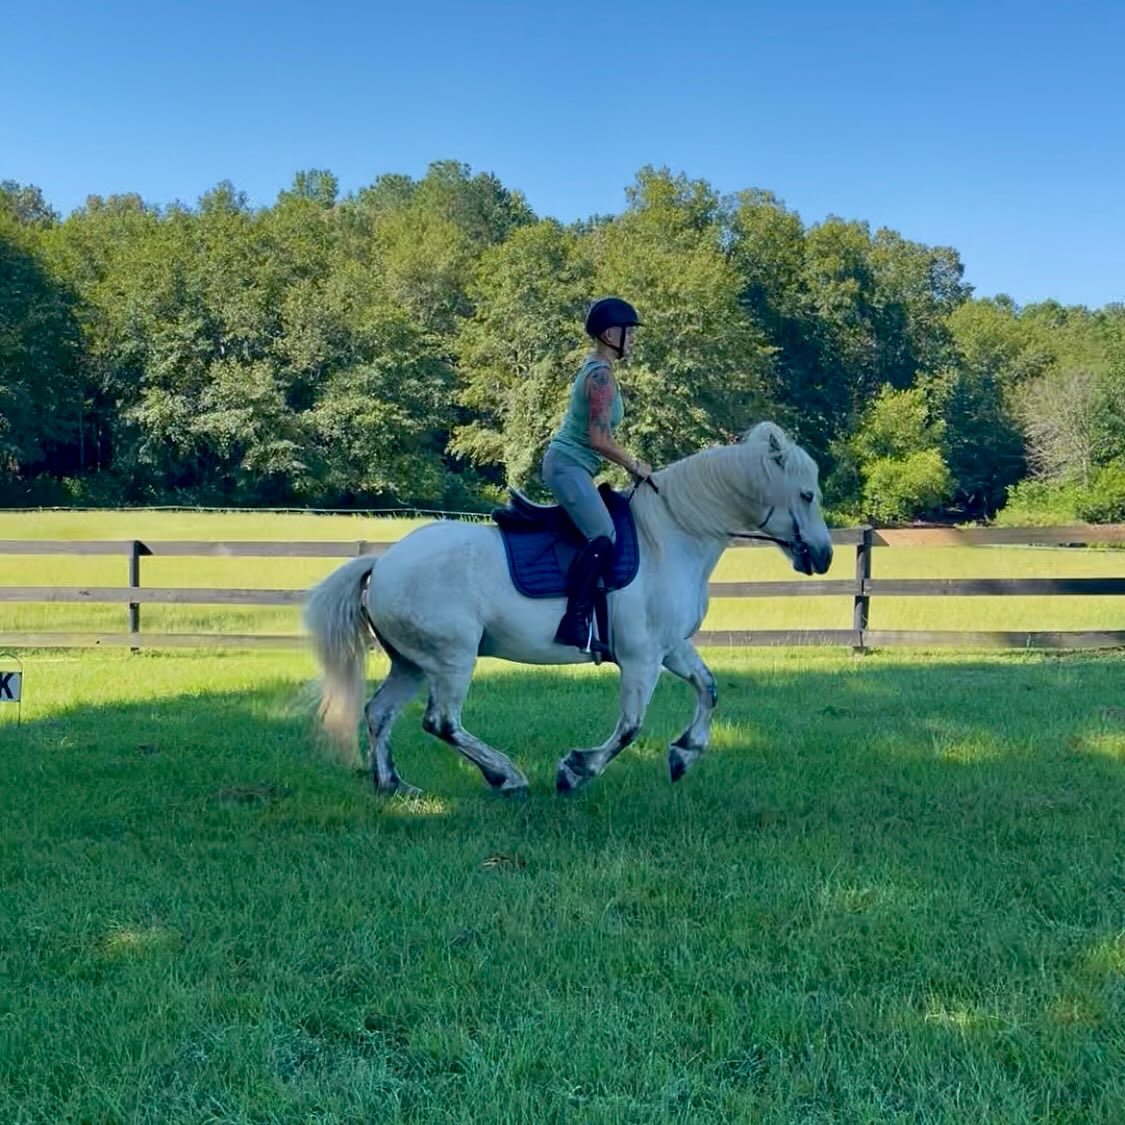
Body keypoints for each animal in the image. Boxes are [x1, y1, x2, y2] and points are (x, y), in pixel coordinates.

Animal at [303, 421, 833, 797]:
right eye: (806, 494)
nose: (824, 556)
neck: (670, 536)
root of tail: (382, 562)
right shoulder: (641, 658)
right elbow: (629, 728)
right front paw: (575, 770)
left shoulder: (671, 648)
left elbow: (708, 688)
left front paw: (684, 755)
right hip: (452, 657)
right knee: (442, 722)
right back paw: (506, 777)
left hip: (412, 662)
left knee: (379, 713)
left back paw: (394, 785)